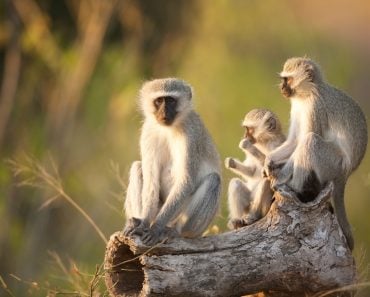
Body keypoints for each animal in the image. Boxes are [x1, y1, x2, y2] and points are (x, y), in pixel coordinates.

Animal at [123, 77, 221, 244]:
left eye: (171, 101)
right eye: (159, 101)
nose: (164, 112)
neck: (167, 129)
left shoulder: (191, 134)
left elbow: (186, 181)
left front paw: (155, 228)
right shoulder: (148, 132)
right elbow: (151, 183)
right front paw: (144, 224)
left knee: (213, 180)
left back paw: (175, 231)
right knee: (137, 167)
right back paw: (136, 221)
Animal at [266, 56, 368, 250]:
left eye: (287, 79)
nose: (282, 87)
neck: (306, 94)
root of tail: (347, 172)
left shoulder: (315, 107)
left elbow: (303, 140)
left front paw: (281, 176)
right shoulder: (297, 106)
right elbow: (294, 141)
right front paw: (268, 162)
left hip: (333, 163)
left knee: (310, 141)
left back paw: (296, 188)